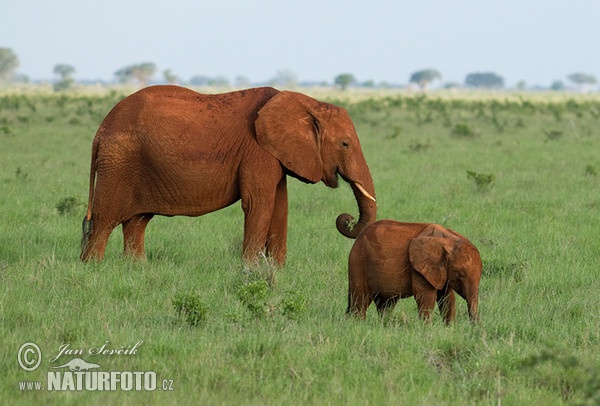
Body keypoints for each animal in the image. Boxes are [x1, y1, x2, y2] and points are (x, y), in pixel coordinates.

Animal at [81, 84, 376, 264]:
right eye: (345, 144)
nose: (346, 219)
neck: (306, 102)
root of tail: (100, 129)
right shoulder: (258, 151)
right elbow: (259, 204)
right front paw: (251, 271)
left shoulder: (274, 155)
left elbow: (280, 206)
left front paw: (277, 271)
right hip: (118, 164)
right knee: (104, 221)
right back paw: (94, 268)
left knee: (137, 221)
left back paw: (136, 268)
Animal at [346, 220, 482, 322]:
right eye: (460, 274)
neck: (449, 239)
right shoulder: (418, 268)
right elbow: (425, 296)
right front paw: (427, 329)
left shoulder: (441, 270)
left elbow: (447, 298)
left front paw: (449, 329)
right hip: (358, 262)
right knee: (360, 300)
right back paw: (358, 324)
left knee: (386, 304)